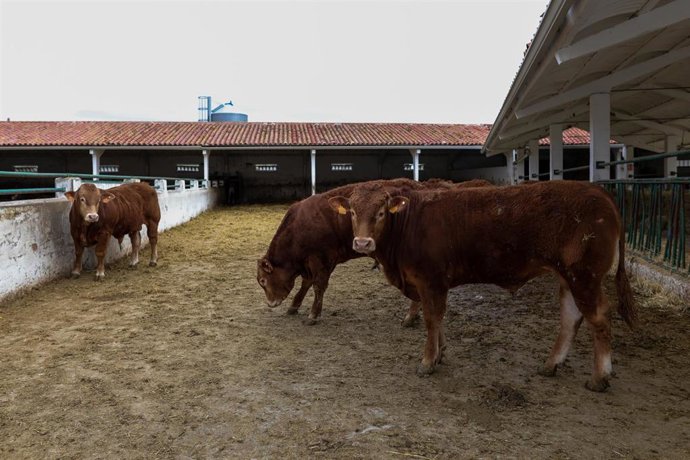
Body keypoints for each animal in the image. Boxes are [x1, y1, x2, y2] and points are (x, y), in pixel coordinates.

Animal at [257, 178, 491, 325]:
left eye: (263, 281)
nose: (270, 303)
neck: (299, 226)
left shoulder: (321, 259)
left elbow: (317, 286)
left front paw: (313, 315)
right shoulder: (312, 262)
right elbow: (306, 283)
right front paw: (294, 306)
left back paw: (410, 316)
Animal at [328, 180, 637, 392]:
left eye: (381, 212)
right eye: (352, 212)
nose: (362, 243)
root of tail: (598, 191)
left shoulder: (430, 280)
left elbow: (432, 319)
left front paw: (428, 361)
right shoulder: (434, 285)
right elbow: (439, 319)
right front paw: (440, 353)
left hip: (584, 277)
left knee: (599, 318)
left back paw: (599, 378)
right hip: (568, 278)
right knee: (571, 318)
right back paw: (551, 365)